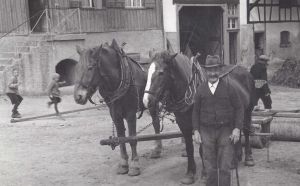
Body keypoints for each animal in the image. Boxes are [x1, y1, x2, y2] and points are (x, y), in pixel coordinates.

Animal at [74, 40, 163, 177]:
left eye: (90, 67)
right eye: (77, 68)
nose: (78, 96)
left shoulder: (131, 113)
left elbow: (132, 138)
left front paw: (135, 165)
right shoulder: (115, 114)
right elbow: (121, 138)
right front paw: (123, 164)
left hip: (153, 103)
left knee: (156, 123)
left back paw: (159, 149)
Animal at [143, 49, 255, 183]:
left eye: (161, 73)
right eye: (147, 72)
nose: (146, 101)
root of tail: (244, 70)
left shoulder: (202, 125)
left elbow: (202, 149)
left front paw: (205, 174)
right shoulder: (184, 125)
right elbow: (189, 148)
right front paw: (190, 173)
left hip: (248, 110)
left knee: (246, 131)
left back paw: (248, 158)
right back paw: (234, 160)